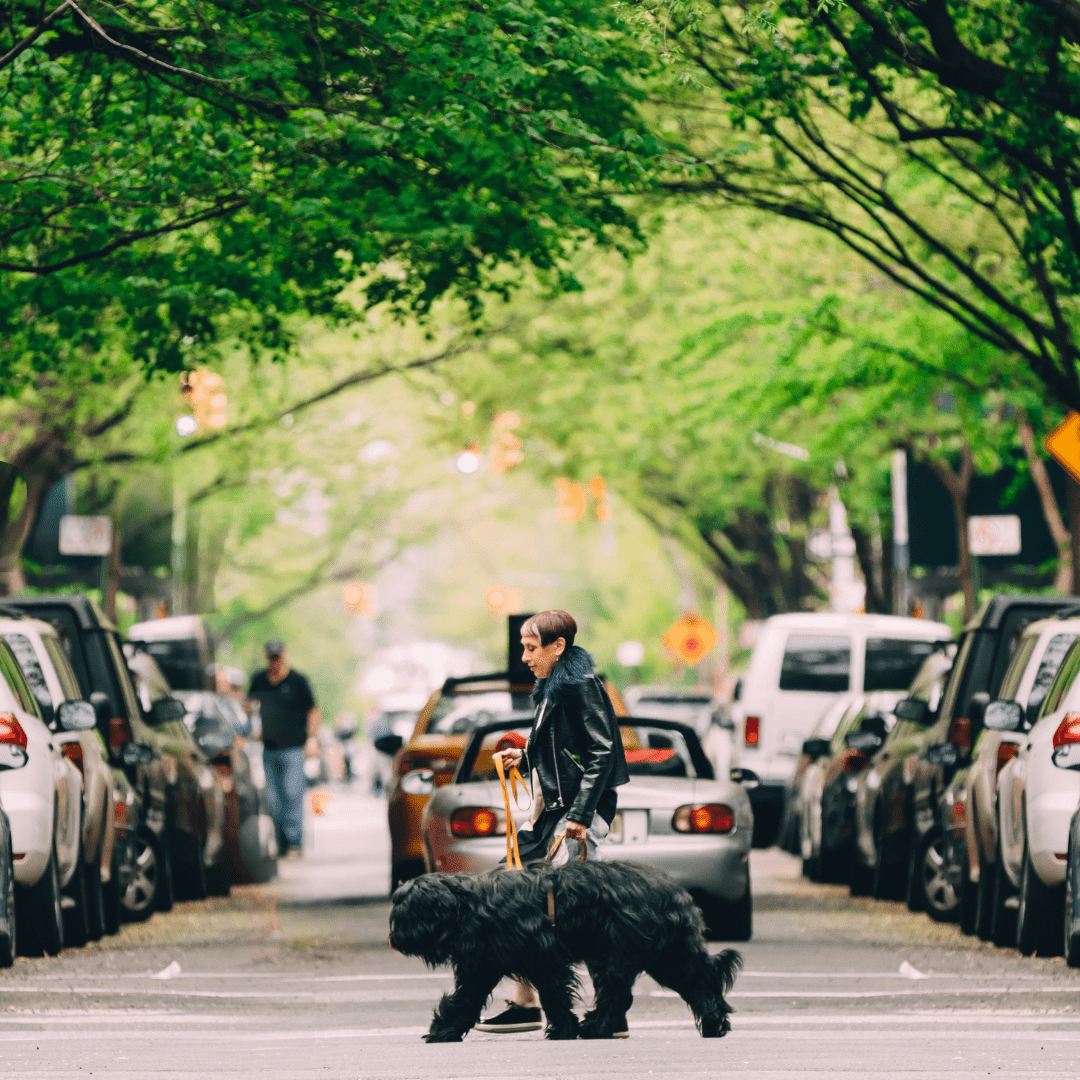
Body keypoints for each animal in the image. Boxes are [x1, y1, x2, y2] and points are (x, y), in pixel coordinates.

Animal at [388, 855, 743, 1041]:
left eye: (405, 913)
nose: (393, 940)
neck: (471, 906)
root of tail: (673, 890)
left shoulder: (543, 958)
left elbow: (553, 995)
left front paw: (563, 1029)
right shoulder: (483, 965)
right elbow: (466, 999)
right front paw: (446, 1030)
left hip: (623, 953)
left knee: (617, 993)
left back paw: (596, 1027)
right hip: (666, 955)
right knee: (699, 981)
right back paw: (715, 1023)